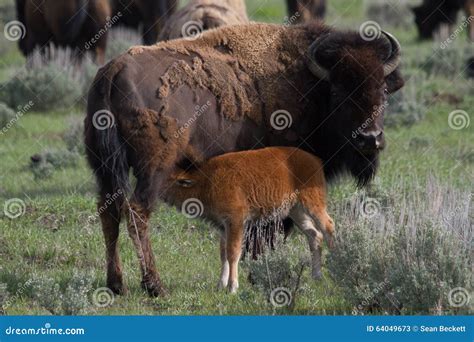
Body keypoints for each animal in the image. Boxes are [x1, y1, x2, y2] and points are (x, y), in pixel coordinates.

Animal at [165, 146, 336, 292]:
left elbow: (233, 251)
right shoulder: (223, 226)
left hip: (312, 204)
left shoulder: (236, 221)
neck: (206, 180)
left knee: (328, 226)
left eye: (171, 180)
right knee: (314, 235)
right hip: (296, 211)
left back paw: (335, 263)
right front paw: (220, 285)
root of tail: (315, 160)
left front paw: (232, 287)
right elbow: (223, 253)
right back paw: (316, 276)